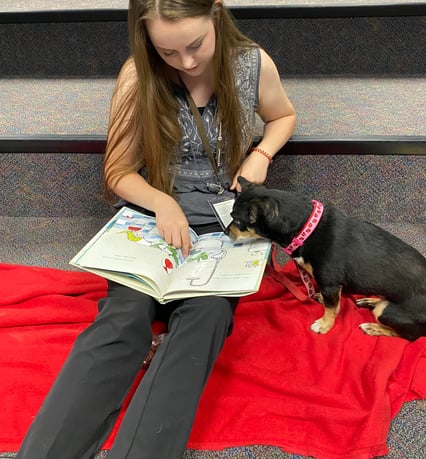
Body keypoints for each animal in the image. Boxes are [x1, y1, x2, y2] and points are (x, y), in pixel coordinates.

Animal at [226, 176, 426, 342]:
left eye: (237, 221)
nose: (225, 232)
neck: (306, 229)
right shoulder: (332, 287)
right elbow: (333, 303)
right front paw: (323, 301)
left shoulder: (329, 283)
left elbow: (331, 309)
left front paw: (324, 325)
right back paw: (370, 300)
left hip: (389, 312)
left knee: (409, 336)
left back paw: (374, 327)